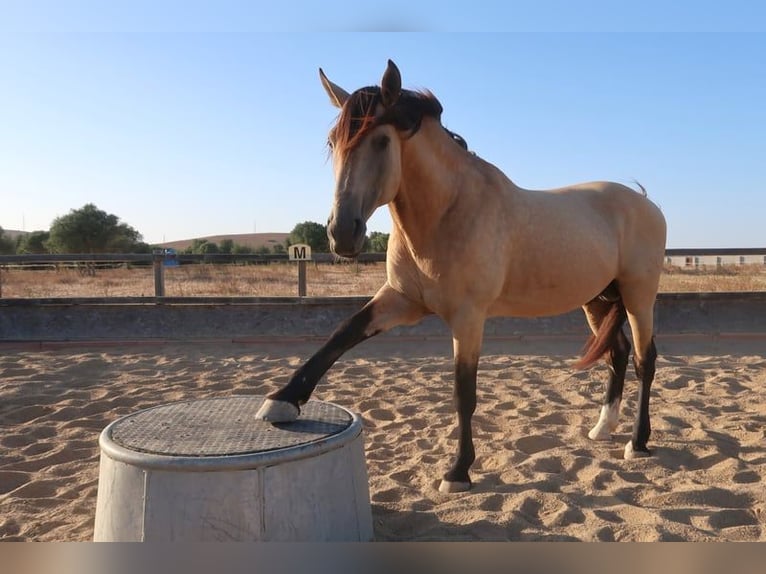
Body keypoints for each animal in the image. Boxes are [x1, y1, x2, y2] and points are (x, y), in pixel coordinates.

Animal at [256, 59, 664, 496]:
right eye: (333, 143)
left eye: (381, 141)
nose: (342, 234)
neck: (447, 213)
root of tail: (645, 201)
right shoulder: (401, 298)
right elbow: (342, 334)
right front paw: (282, 400)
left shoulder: (468, 317)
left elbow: (463, 392)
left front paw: (458, 471)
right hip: (596, 299)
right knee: (617, 353)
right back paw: (602, 428)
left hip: (638, 297)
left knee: (644, 360)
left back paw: (637, 442)